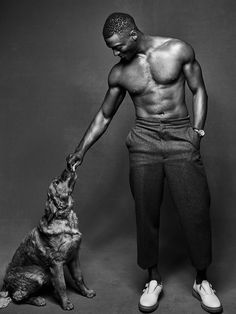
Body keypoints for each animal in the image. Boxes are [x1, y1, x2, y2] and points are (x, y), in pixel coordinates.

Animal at [0, 167, 96, 310]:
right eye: (56, 182)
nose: (67, 169)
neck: (64, 217)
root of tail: (4, 283)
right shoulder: (57, 263)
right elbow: (62, 285)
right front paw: (66, 303)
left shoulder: (74, 256)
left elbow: (79, 277)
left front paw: (86, 292)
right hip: (40, 273)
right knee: (17, 297)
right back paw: (38, 300)